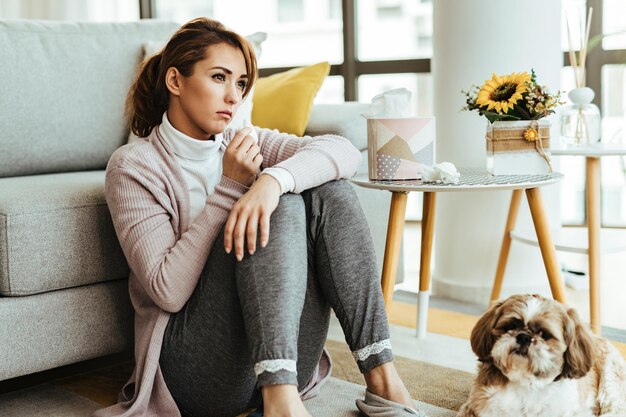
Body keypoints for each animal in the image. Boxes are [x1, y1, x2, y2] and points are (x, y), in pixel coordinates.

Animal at [456, 292, 624, 416]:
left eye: (544, 334)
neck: (526, 385)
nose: (524, 337)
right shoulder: (477, 407)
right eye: (510, 327)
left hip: (610, 379)